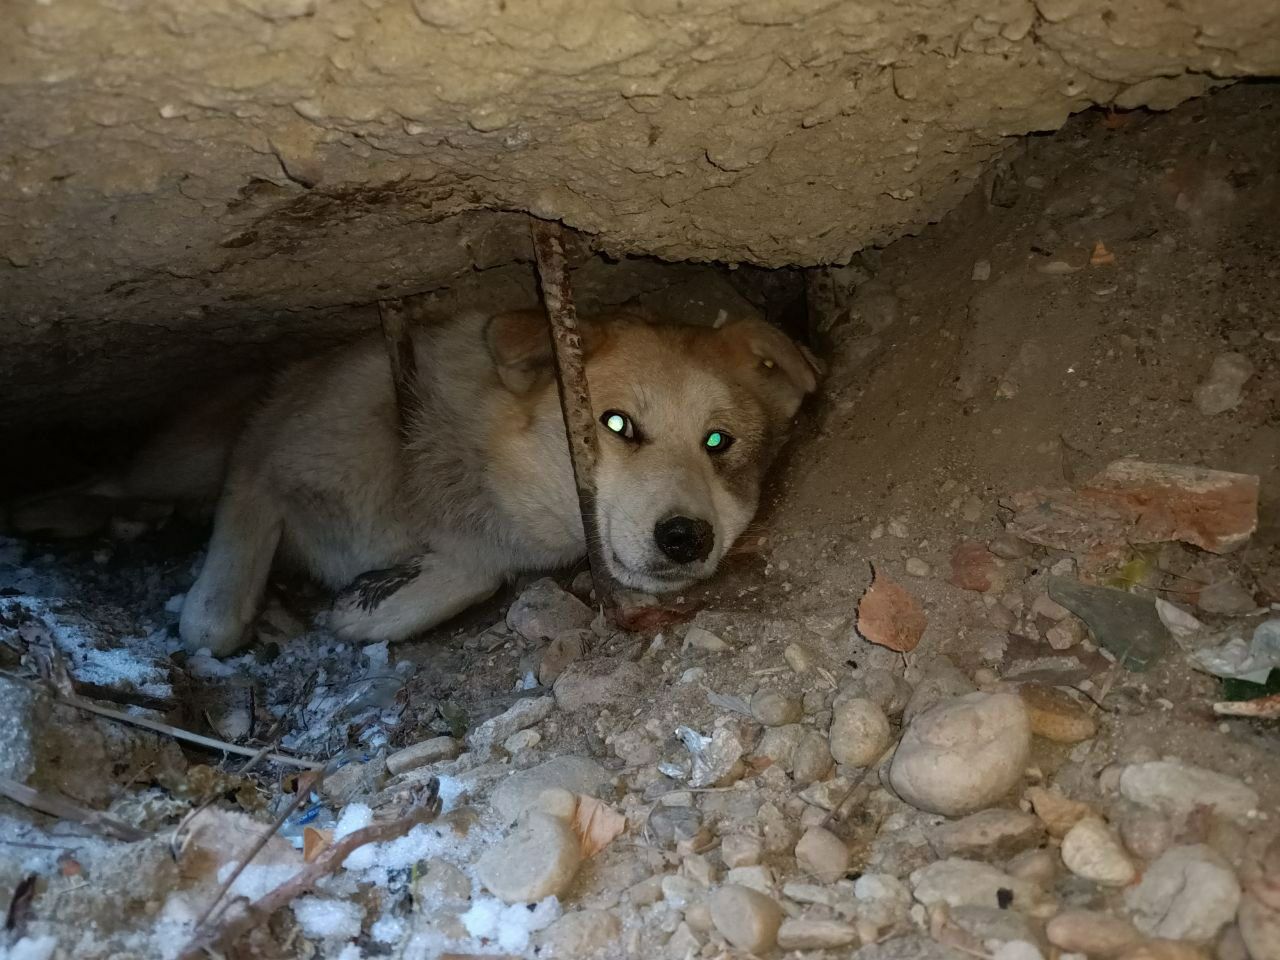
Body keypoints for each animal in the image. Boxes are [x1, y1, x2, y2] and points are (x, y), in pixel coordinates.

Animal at [10, 312, 814, 660]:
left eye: (720, 443)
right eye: (616, 424)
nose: (686, 539)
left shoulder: (485, 552)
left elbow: (461, 581)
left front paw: (365, 610)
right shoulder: (258, 466)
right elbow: (212, 622)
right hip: (191, 453)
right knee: (110, 477)